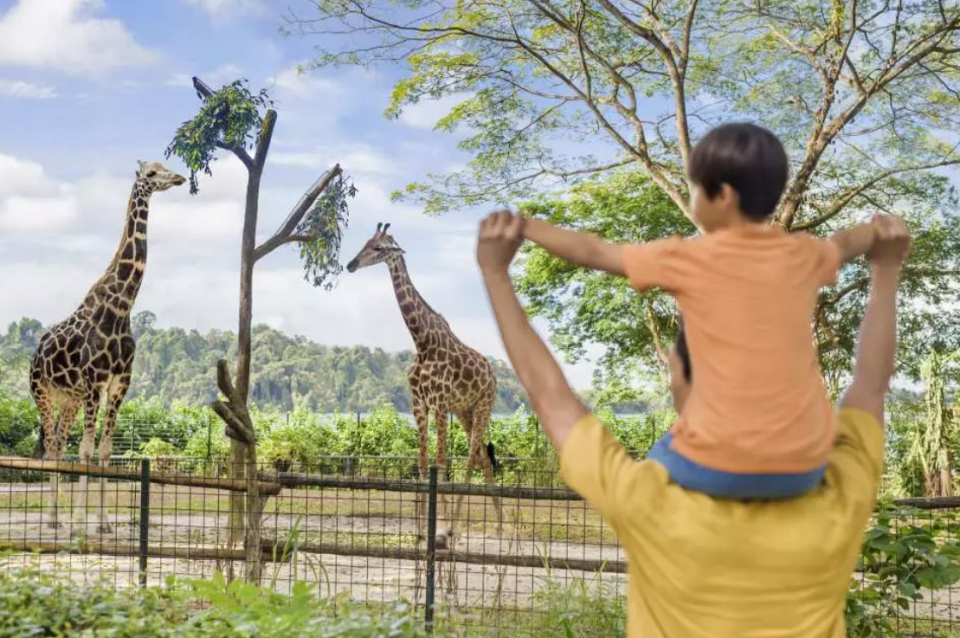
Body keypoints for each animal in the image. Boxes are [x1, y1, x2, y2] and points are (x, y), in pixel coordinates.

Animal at [31, 161, 186, 536]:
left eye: (165, 167)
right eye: (152, 172)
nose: (179, 178)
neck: (122, 307)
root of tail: (36, 353)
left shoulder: (119, 384)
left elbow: (104, 450)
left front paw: (102, 523)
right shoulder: (94, 382)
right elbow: (86, 451)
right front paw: (79, 524)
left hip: (68, 399)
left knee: (59, 443)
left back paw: (56, 516)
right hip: (42, 391)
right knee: (52, 446)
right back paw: (53, 518)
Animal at [350, 225, 502, 544]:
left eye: (379, 248)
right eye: (365, 242)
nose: (351, 264)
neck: (422, 342)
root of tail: (493, 375)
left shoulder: (440, 404)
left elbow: (441, 463)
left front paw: (441, 528)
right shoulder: (419, 405)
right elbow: (422, 463)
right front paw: (420, 531)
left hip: (483, 406)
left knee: (471, 458)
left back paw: (459, 526)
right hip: (465, 411)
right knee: (483, 456)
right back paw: (499, 524)